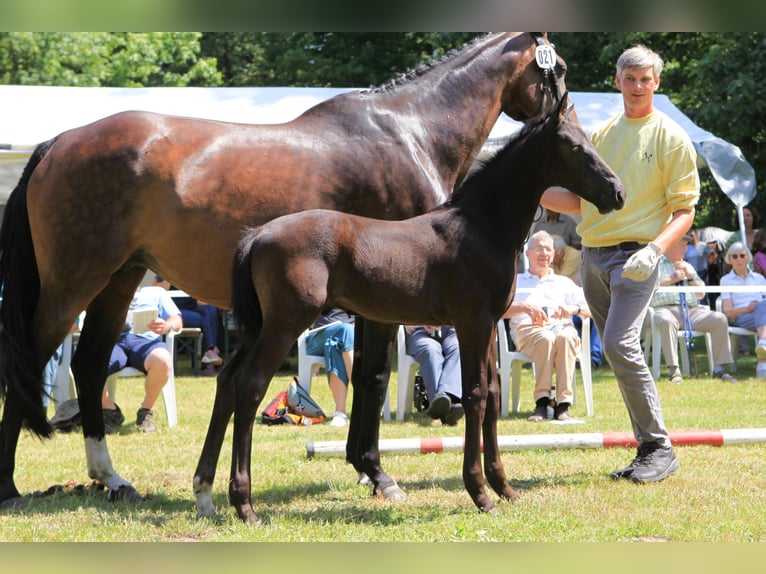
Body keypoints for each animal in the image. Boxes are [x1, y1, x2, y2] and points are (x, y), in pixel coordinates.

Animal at [0, 32, 564, 512]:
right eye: (556, 71)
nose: (562, 117)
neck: (409, 130)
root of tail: (58, 143)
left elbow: (368, 375)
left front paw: (364, 466)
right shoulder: (388, 303)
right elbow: (375, 377)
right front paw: (377, 473)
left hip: (118, 280)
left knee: (90, 362)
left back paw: (111, 478)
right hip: (72, 284)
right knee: (28, 362)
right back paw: (10, 488)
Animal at [213, 94, 628, 520]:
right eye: (575, 147)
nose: (617, 193)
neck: (480, 227)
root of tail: (258, 234)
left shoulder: (489, 326)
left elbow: (494, 393)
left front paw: (504, 487)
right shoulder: (473, 323)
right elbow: (475, 395)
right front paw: (479, 493)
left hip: (259, 326)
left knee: (227, 379)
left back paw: (204, 492)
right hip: (285, 324)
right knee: (250, 384)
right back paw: (243, 504)